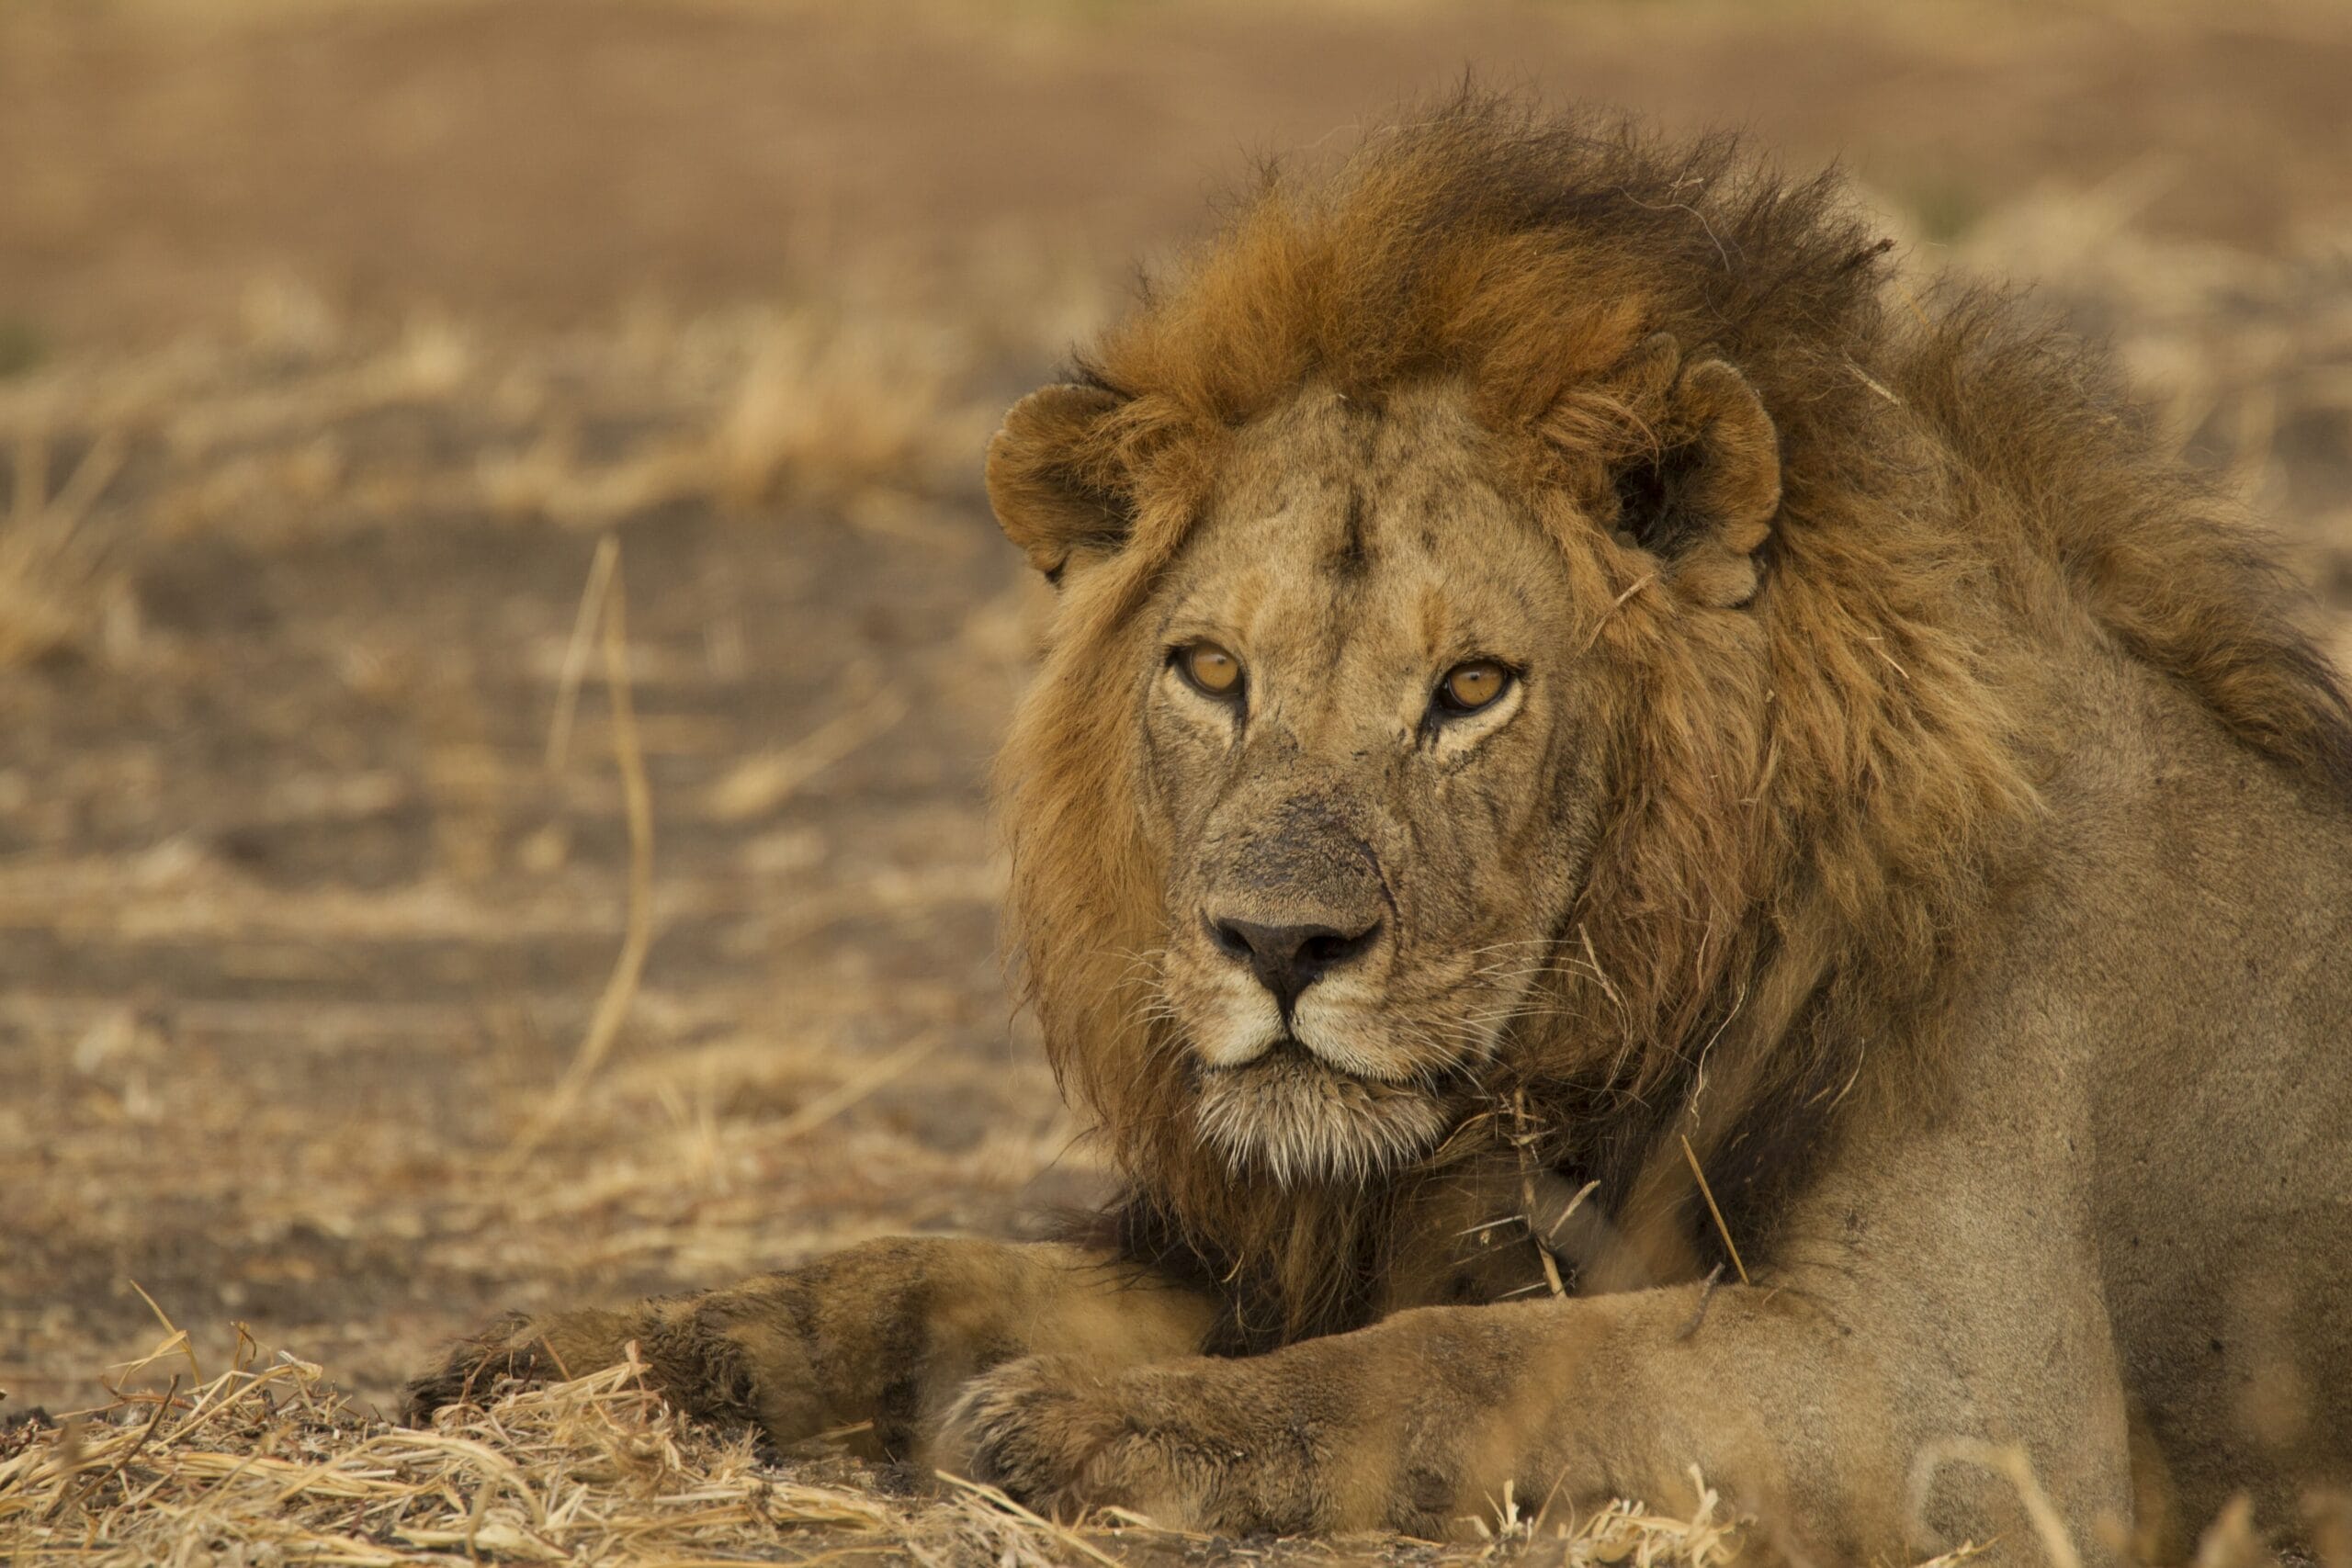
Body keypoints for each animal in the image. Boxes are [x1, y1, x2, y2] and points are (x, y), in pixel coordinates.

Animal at [409, 97, 2352, 1563]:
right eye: (1211, 670)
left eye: (1474, 687)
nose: (1280, 946)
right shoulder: (1291, 1238)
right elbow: (913, 1268)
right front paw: (591, 1354)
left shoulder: (1969, 1400)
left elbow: (1479, 1368)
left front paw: (1089, 1425)